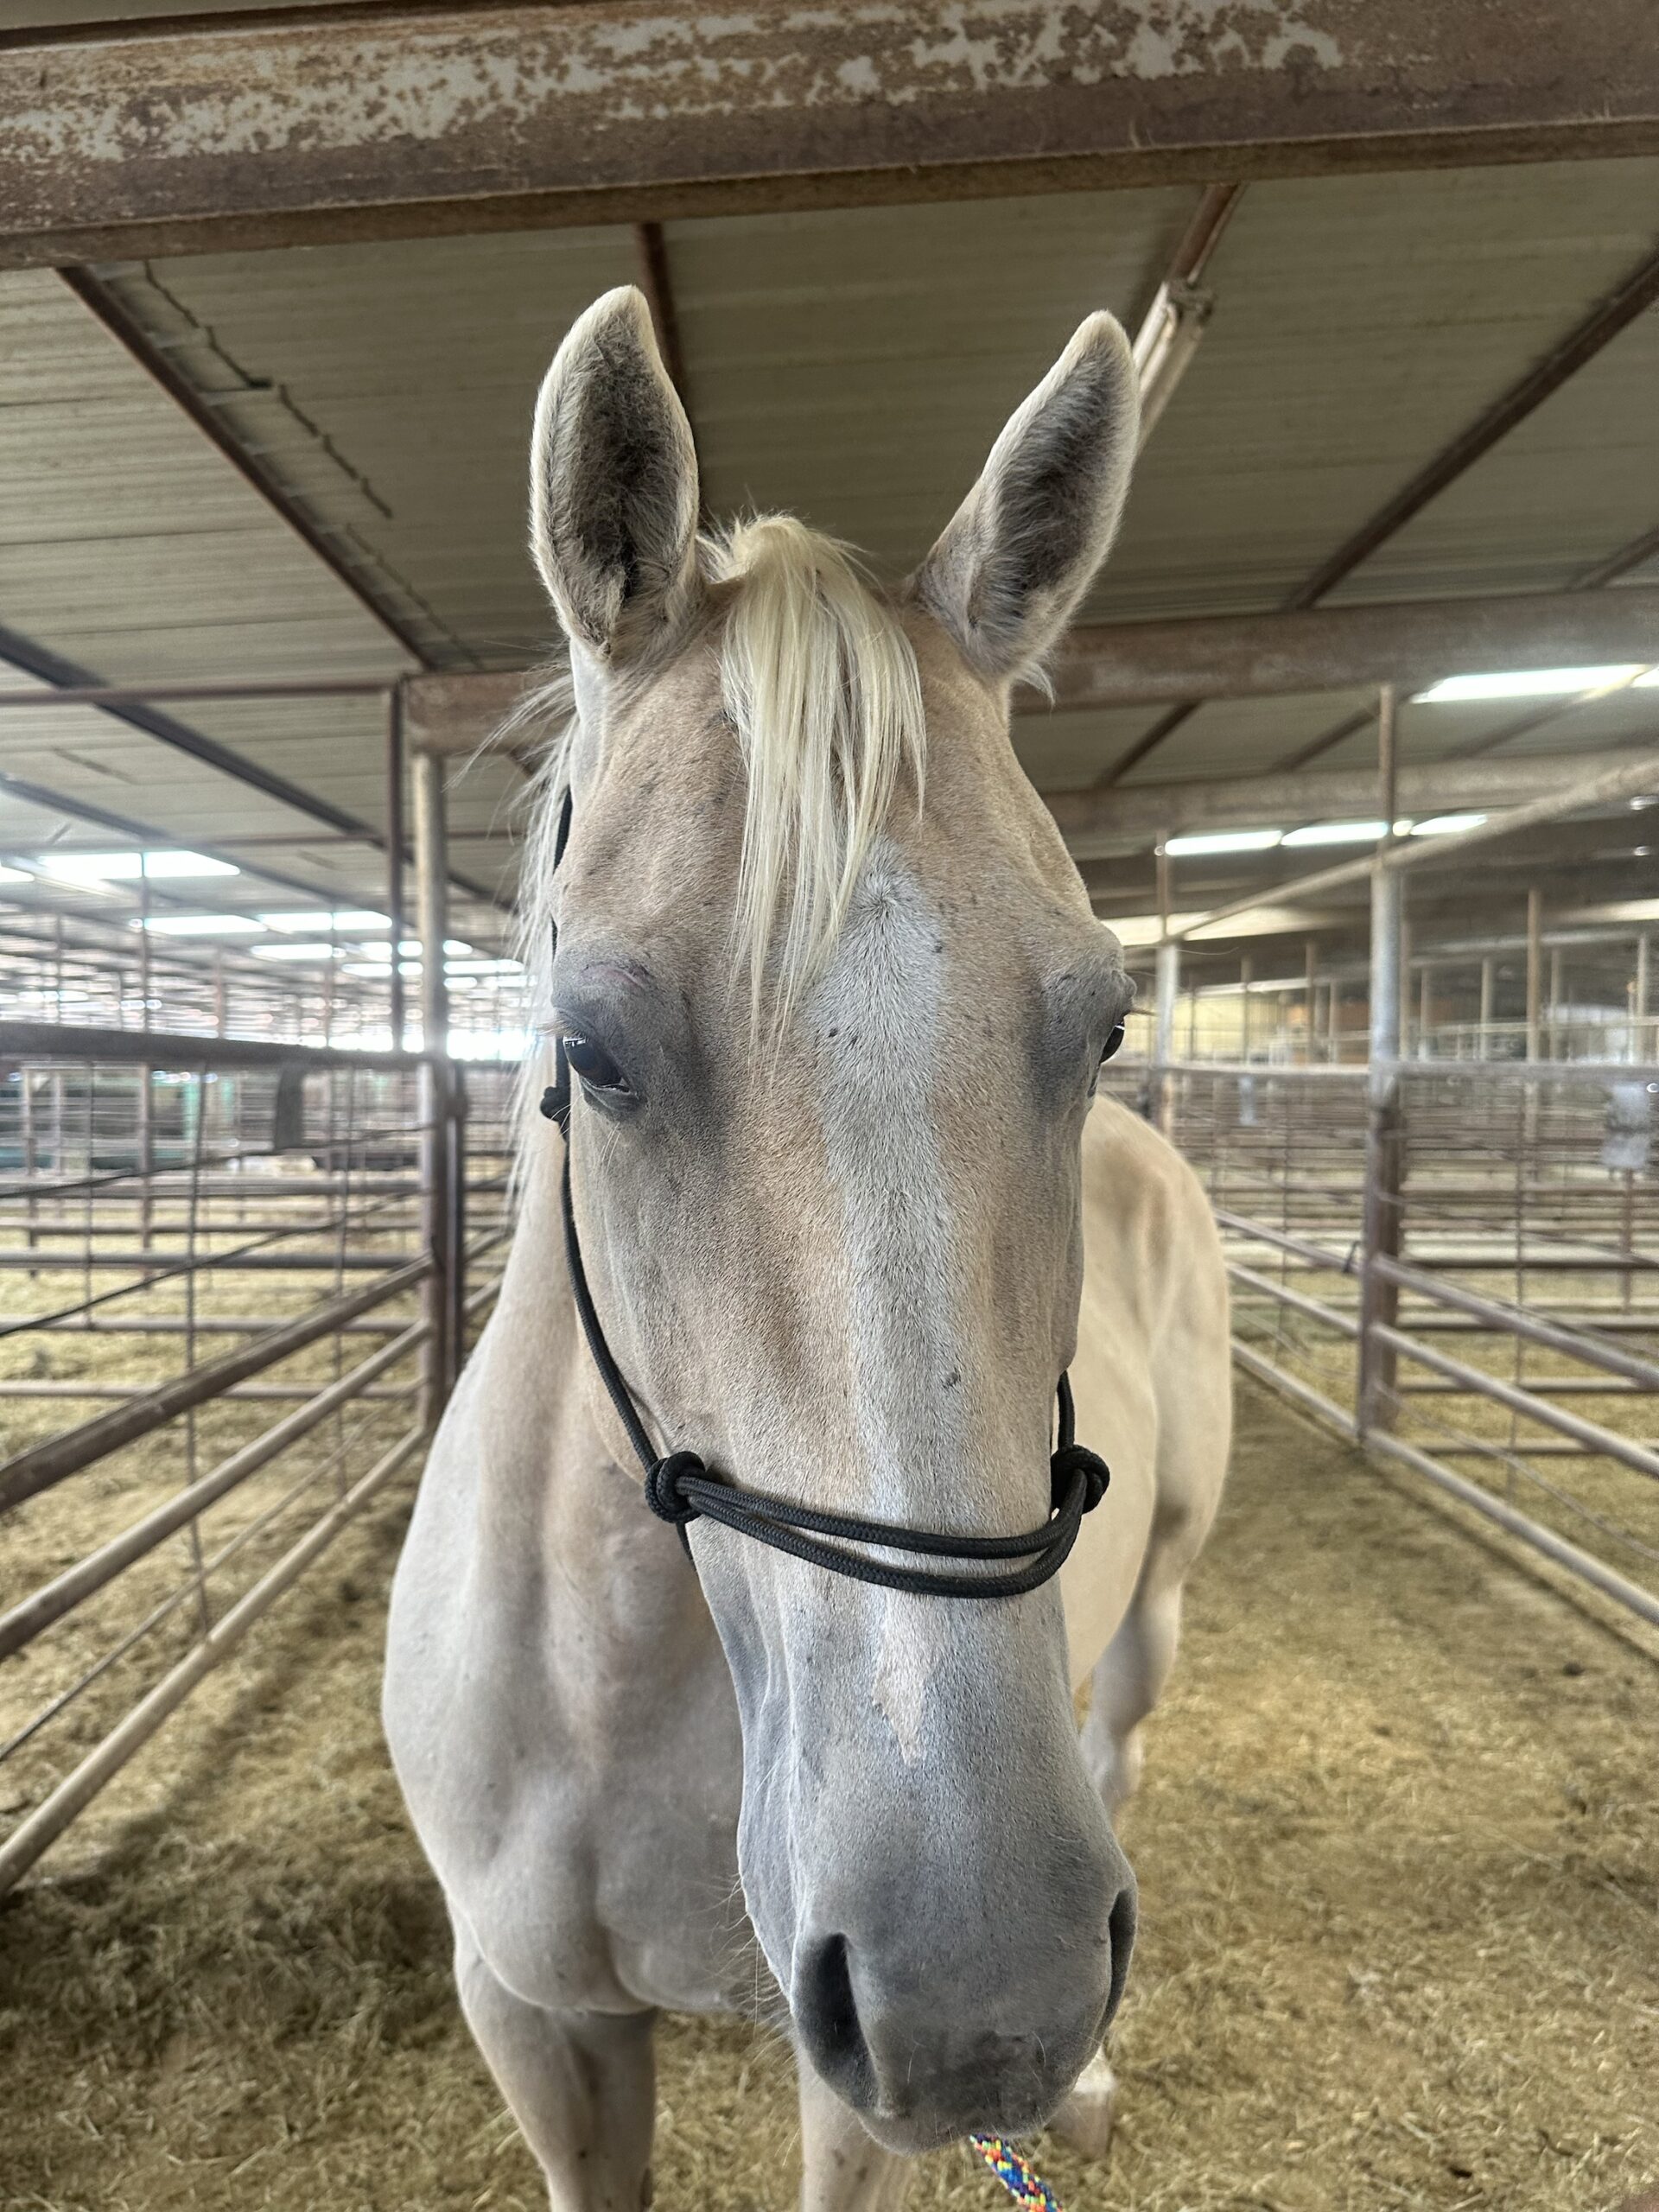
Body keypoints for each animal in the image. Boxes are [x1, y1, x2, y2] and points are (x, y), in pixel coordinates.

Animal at [383, 286, 1231, 2210]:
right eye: (594, 1044)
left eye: (1102, 1025)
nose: (983, 1986)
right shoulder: (535, 2018)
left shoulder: (847, 2089)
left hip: (1155, 1605)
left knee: (1122, 1742)